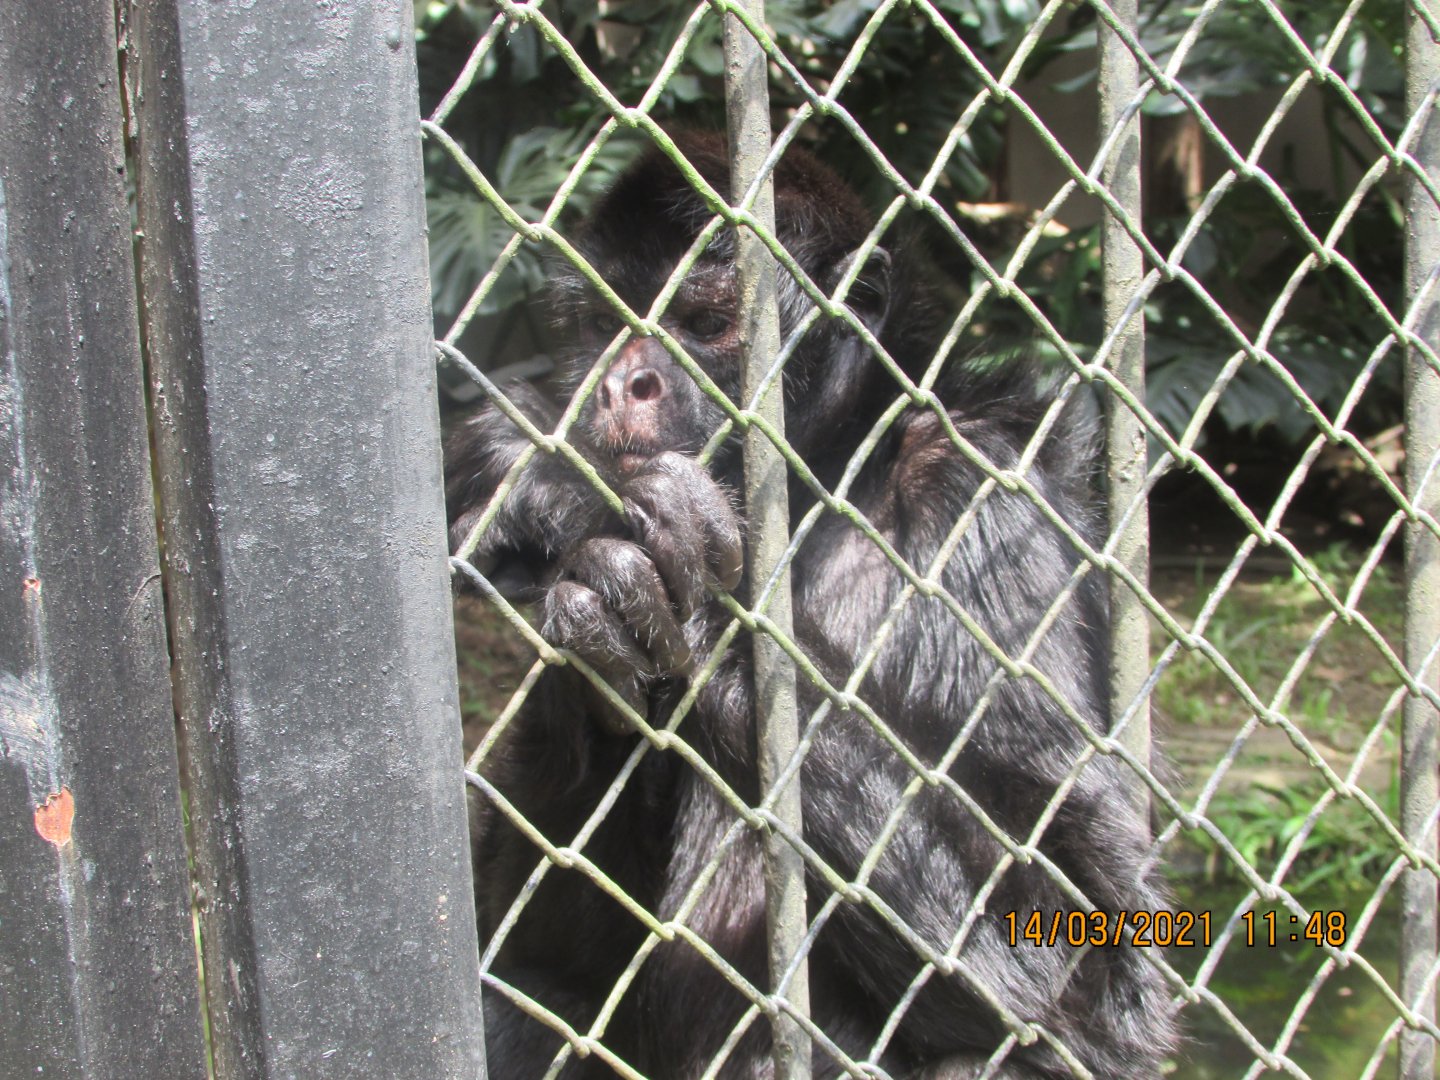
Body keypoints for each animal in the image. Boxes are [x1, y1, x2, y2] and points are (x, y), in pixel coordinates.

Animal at [445, 132, 1177, 1078]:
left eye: (703, 323)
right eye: (605, 325)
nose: (620, 382)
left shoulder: (986, 487)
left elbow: (1093, 970)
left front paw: (587, 510)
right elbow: (540, 967)